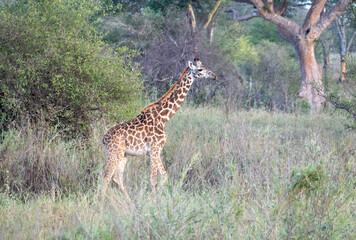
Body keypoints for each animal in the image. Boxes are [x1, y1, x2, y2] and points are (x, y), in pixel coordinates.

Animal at [101, 58, 217, 197]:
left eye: (205, 66)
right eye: (200, 69)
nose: (214, 76)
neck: (163, 118)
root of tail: (104, 138)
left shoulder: (155, 152)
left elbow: (164, 176)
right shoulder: (155, 149)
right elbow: (154, 179)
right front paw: (154, 199)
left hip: (122, 155)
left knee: (116, 177)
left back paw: (129, 201)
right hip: (114, 153)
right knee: (106, 176)